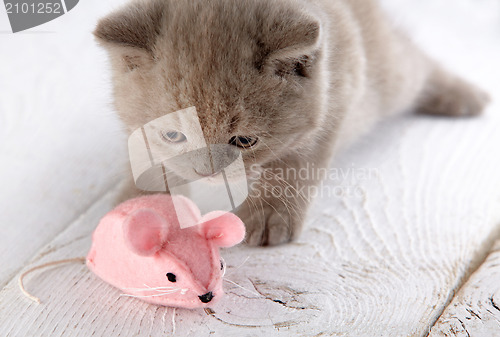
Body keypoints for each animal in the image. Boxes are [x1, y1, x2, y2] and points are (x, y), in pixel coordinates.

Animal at [95, 0, 490, 244]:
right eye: (173, 135)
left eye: (245, 141)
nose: (208, 173)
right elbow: (148, 158)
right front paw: (141, 208)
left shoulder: (337, 96)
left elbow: (293, 163)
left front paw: (270, 215)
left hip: (389, 75)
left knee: (417, 63)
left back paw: (464, 96)